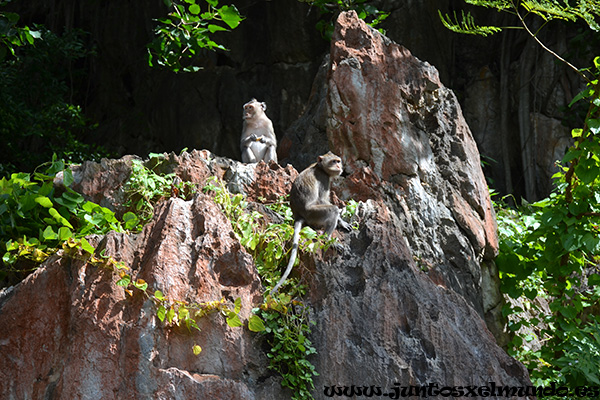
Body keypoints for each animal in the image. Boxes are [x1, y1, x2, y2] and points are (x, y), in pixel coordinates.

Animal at [272, 152, 352, 292]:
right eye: (333, 161)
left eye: (338, 161)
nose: (339, 166)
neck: (320, 167)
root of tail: (299, 214)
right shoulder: (324, 179)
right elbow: (322, 200)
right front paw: (340, 220)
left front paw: (342, 222)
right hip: (313, 214)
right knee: (332, 210)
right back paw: (328, 239)